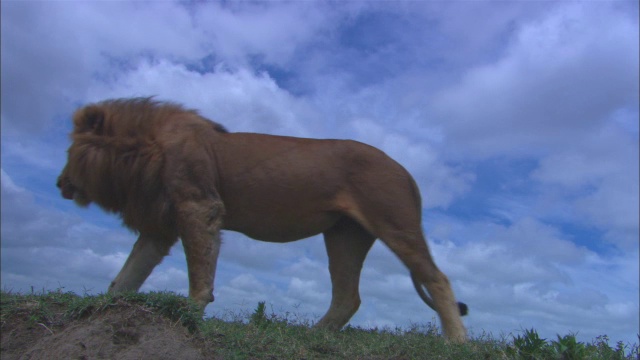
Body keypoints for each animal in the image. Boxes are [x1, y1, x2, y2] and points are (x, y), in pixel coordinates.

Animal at [57, 97, 468, 342]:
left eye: (68, 152)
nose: (59, 183)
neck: (140, 151)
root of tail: (405, 170)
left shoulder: (199, 206)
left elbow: (199, 275)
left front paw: (187, 318)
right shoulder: (160, 227)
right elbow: (125, 277)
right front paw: (98, 312)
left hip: (393, 223)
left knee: (437, 279)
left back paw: (456, 342)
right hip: (344, 235)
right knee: (348, 296)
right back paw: (312, 337)